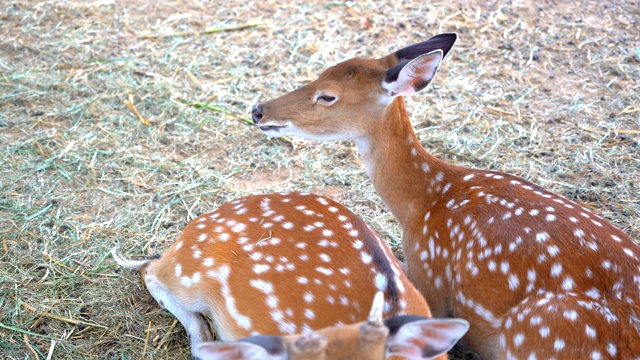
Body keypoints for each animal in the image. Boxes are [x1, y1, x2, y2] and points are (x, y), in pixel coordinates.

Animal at [251, 32, 640, 358]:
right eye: (319, 73)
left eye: (327, 95)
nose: (258, 110)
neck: (423, 202)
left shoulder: (429, 272)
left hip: (540, 331)